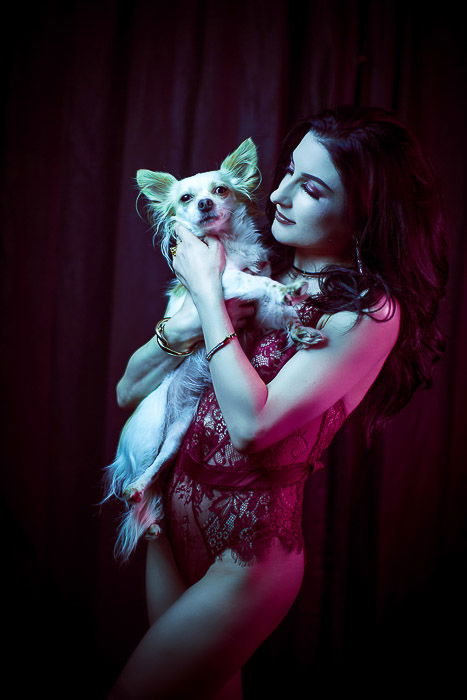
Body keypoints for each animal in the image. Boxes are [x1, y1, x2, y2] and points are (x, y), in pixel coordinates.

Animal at [103, 139, 324, 560]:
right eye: (186, 198)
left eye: (220, 190)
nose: (204, 203)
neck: (229, 245)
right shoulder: (223, 282)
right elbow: (264, 285)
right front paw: (289, 290)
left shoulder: (257, 312)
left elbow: (278, 311)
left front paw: (299, 329)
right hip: (148, 432)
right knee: (131, 481)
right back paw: (137, 498)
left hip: (177, 431)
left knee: (158, 468)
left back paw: (145, 503)